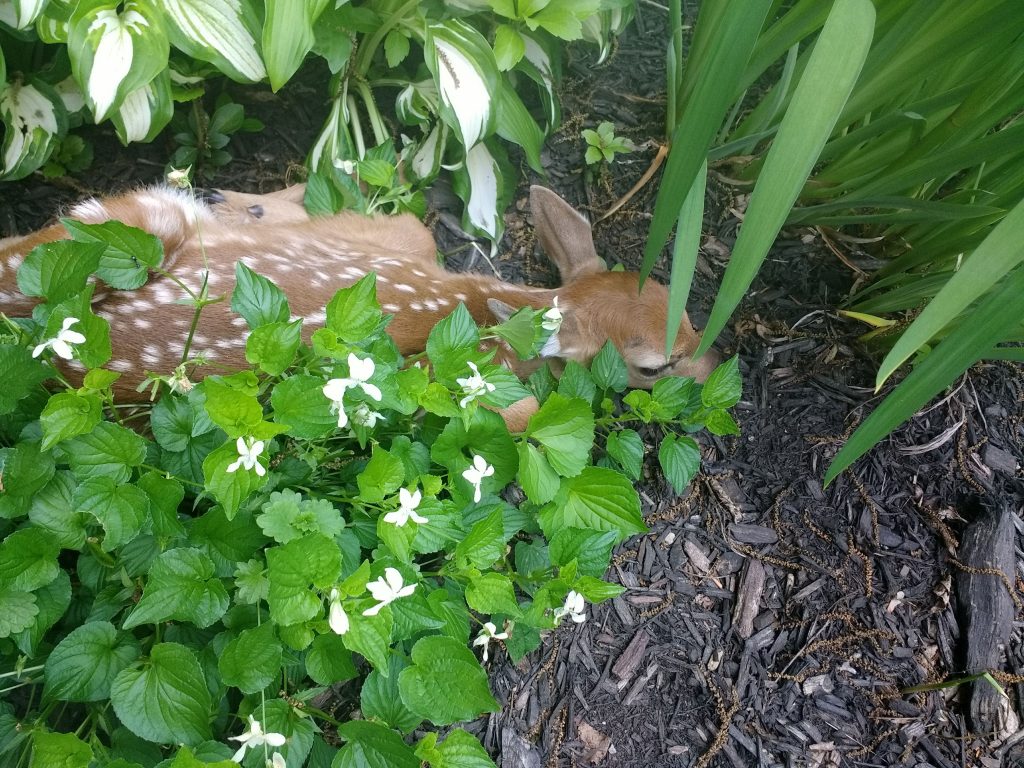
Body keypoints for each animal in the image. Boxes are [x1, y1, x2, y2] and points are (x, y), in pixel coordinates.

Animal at [0, 183, 718, 430]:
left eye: (679, 303)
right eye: (654, 367)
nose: (715, 364)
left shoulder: (406, 246)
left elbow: (405, 224)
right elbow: (520, 414)